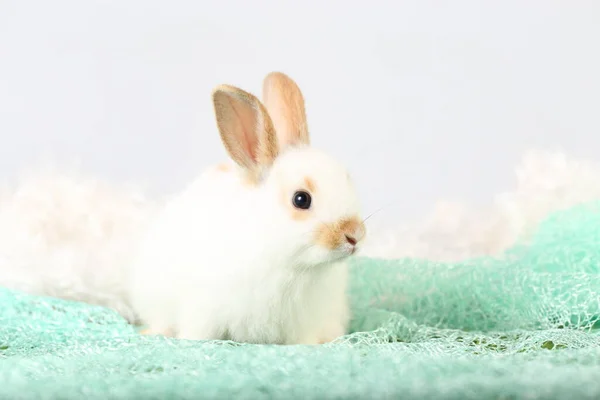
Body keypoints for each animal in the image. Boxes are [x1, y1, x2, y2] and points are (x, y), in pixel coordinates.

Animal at [129, 72, 366, 344]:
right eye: (301, 199)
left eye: (347, 178)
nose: (355, 235)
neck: (290, 265)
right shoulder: (202, 309)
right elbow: (197, 333)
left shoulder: (305, 325)